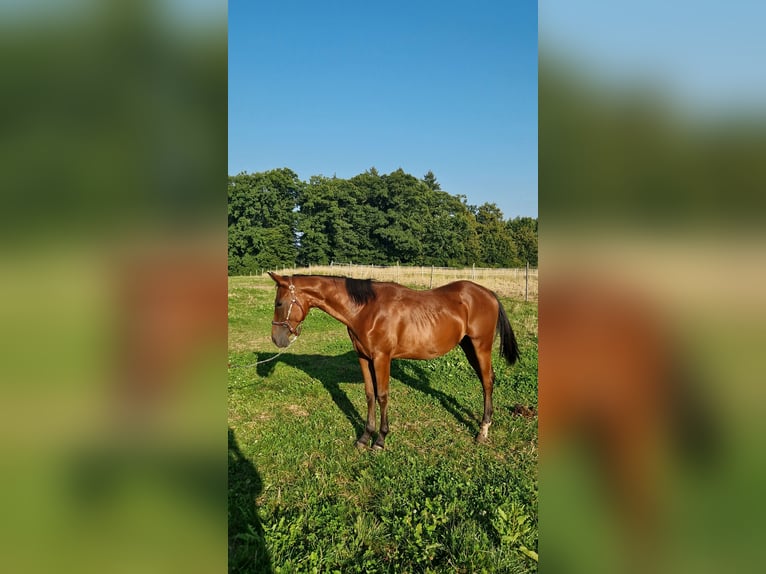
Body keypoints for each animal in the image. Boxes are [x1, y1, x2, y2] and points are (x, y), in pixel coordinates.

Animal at [267, 272, 520, 449]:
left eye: (279, 303)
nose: (276, 339)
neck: (365, 310)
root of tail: (489, 294)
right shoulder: (363, 358)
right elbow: (370, 395)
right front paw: (365, 437)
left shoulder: (382, 358)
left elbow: (382, 396)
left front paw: (380, 440)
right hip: (468, 347)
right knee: (486, 379)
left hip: (481, 346)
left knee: (487, 381)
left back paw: (482, 431)